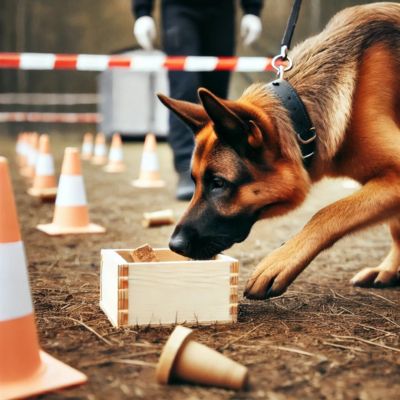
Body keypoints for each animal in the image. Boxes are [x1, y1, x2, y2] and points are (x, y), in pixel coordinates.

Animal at [158, 1, 400, 298]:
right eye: (195, 181)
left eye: (218, 183)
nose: (174, 246)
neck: (304, 117)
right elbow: (394, 225)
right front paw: (390, 268)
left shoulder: (393, 176)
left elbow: (329, 211)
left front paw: (279, 261)